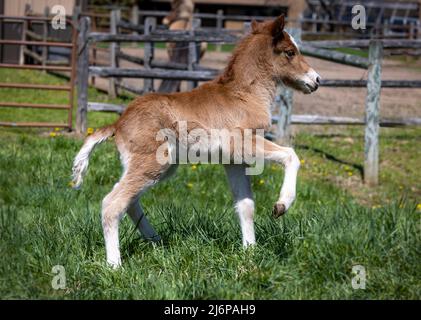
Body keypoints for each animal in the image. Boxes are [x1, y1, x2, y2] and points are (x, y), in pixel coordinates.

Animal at [73, 15, 322, 266]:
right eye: (290, 52)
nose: (317, 79)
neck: (245, 95)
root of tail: (118, 122)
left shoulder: (233, 160)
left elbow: (246, 205)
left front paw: (250, 253)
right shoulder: (240, 142)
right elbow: (291, 155)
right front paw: (281, 206)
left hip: (157, 167)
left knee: (130, 202)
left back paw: (157, 242)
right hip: (153, 162)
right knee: (112, 203)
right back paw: (115, 265)